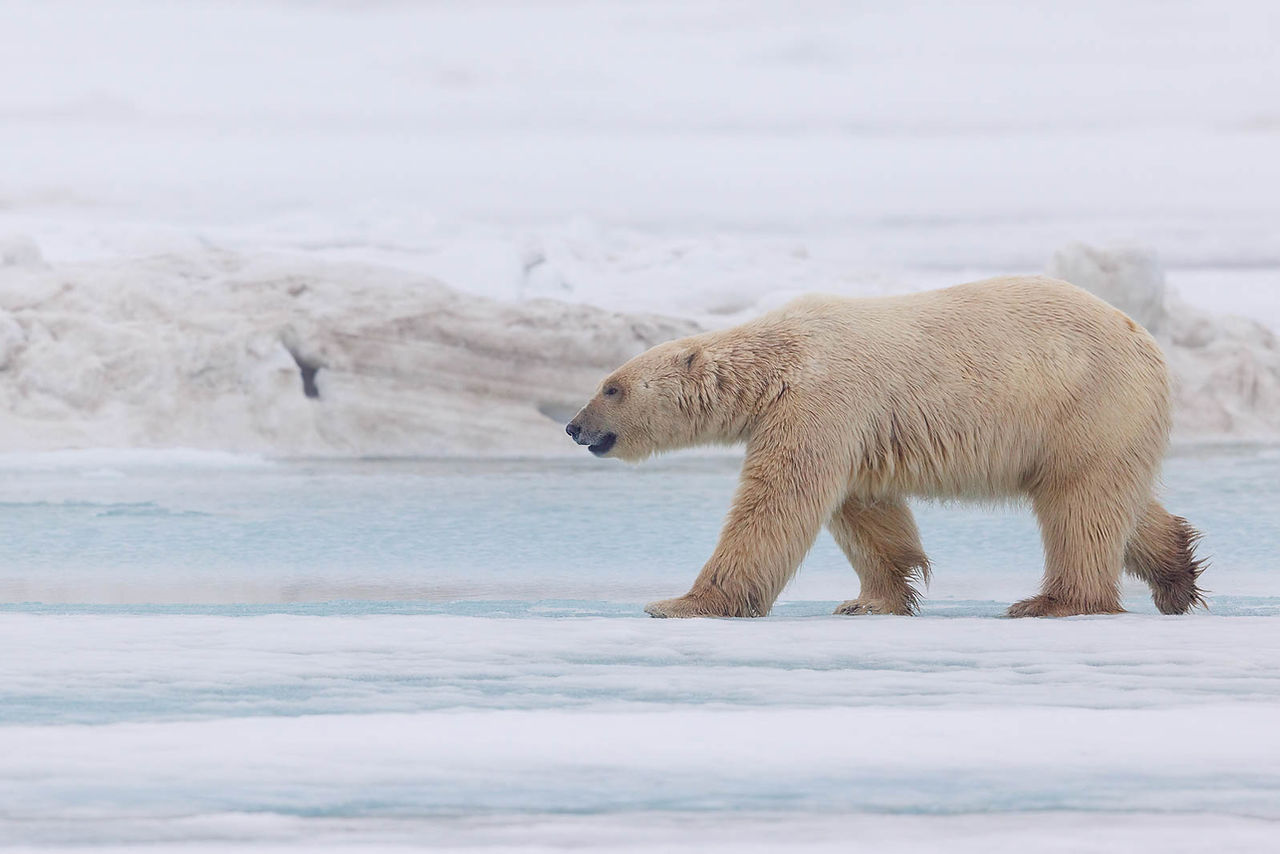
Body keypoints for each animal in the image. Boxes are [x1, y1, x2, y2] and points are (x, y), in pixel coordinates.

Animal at [565, 276, 1207, 618]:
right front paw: (871, 600)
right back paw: (1177, 575)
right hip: (1107, 421)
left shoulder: (822, 398)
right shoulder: (849, 426)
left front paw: (679, 603)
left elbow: (777, 504)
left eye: (610, 387)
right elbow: (864, 509)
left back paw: (1052, 602)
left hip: (1083, 402)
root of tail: (1146, 341)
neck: (779, 359)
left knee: (1079, 505)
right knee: (1120, 503)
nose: (573, 426)